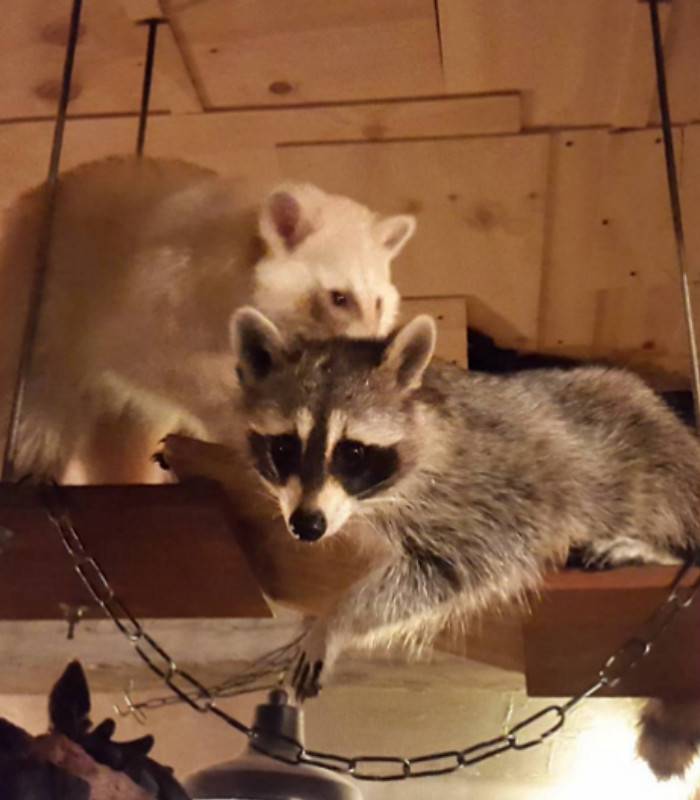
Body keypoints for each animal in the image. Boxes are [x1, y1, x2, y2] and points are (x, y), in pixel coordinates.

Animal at [229, 307, 700, 776]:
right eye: (284, 448)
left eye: (352, 453)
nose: (307, 525)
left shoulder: (498, 491)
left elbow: (462, 562)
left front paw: (336, 619)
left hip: (656, 449)